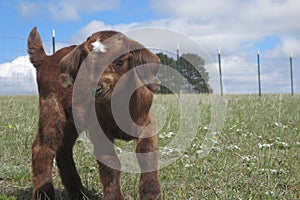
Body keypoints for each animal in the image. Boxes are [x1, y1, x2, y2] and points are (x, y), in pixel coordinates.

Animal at [27, 27, 162, 200]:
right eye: (86, 62)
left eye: (120, 61)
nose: (96, 89)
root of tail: (45, 59)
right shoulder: (99, 130)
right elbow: (110, 163)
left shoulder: (149, 122)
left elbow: (147, 151)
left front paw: (151, 194)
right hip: (51, 107)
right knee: (42, 147)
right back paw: (45, 194)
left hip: (72, 121)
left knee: (64, 150)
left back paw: (79, 193)